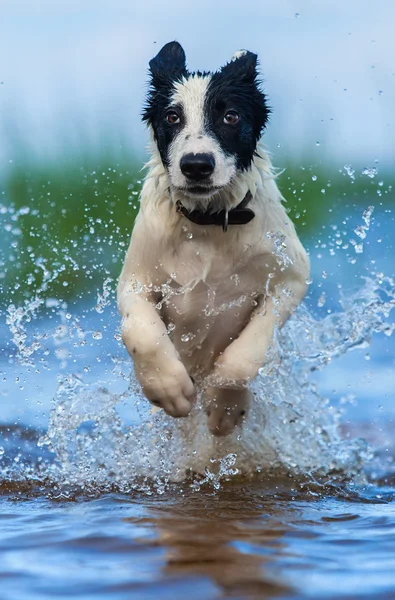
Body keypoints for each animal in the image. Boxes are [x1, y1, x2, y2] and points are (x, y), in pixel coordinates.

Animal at [117, 41, 310, 436]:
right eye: (172, 117)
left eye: (231, 117)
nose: (196, 165)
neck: (207, 221)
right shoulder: (136, 279)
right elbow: (141, 332)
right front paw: (169, 389)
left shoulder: (291, 277)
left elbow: (249, 350)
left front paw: (225, 405)